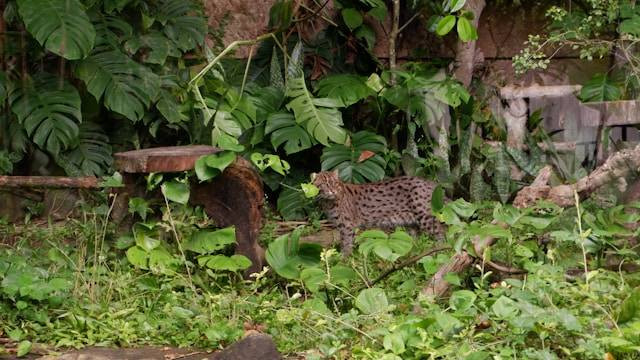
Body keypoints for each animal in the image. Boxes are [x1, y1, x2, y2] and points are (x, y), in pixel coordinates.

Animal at [312, 170, 444, 255]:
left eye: (335, 183)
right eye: (324, 184)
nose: (332, 191)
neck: (328, 202)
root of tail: (429, 182)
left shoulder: (347, 226)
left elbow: (346, 244)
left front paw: (343, 261)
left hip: (425, 216)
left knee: (442, 233)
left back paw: (439, 252)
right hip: (411, 221)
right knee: (413, 240)